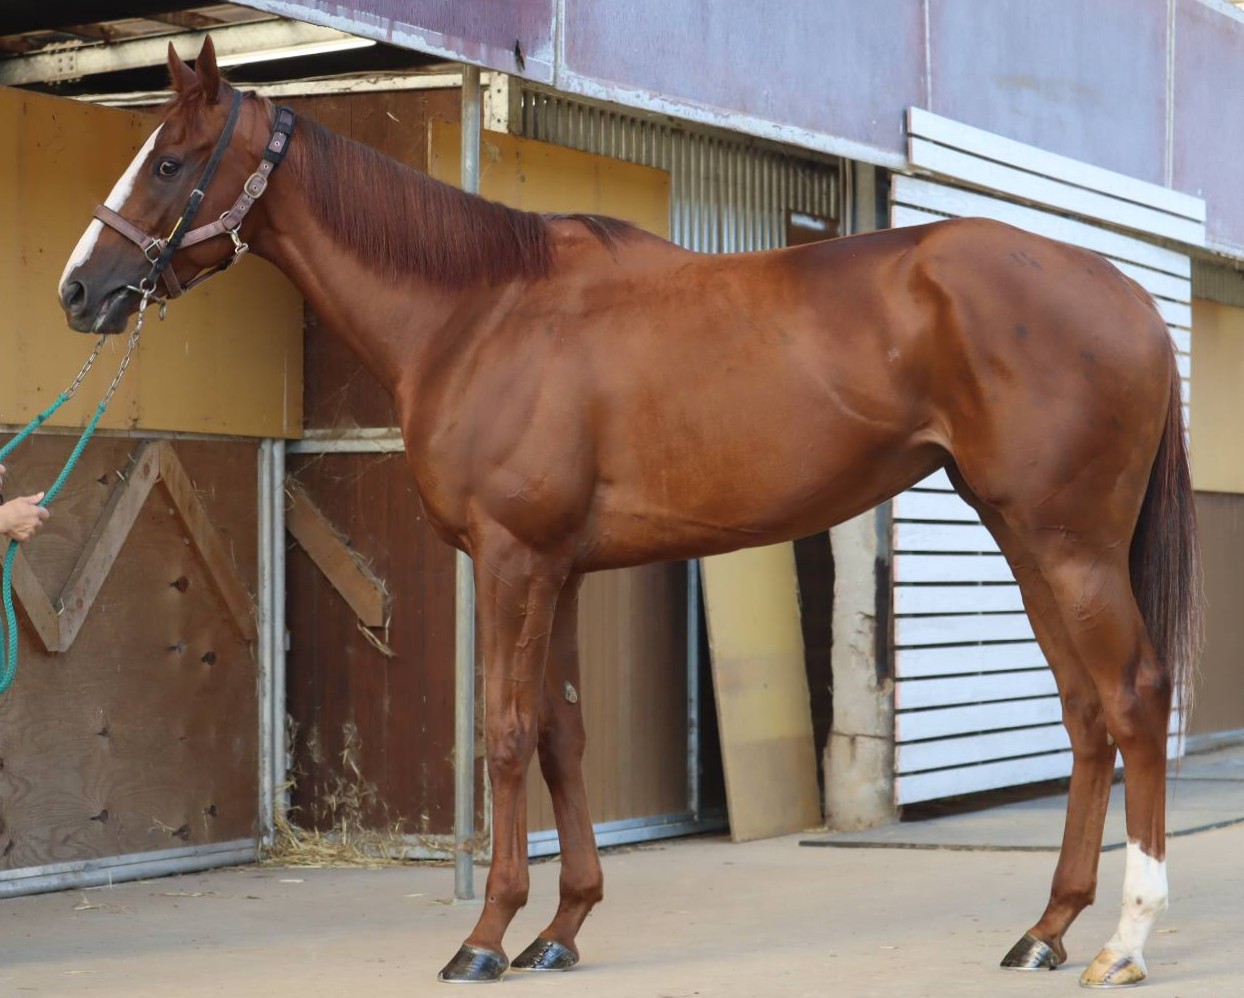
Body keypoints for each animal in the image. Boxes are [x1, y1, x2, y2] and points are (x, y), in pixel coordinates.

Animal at [57, 37, 1201, 989]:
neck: (480, 313)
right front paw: (559, 929)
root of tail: (1126, 296)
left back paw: (1124, 940)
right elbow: (563, 735)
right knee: (1085, 712)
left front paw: (484, 938)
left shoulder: (512, 560)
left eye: (169, 162)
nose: (79, 290)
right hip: (1026, 537)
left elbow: (507, 733)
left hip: (1067, 542)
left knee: (1134, 697)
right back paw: (1046, 928)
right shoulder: (556, 568)